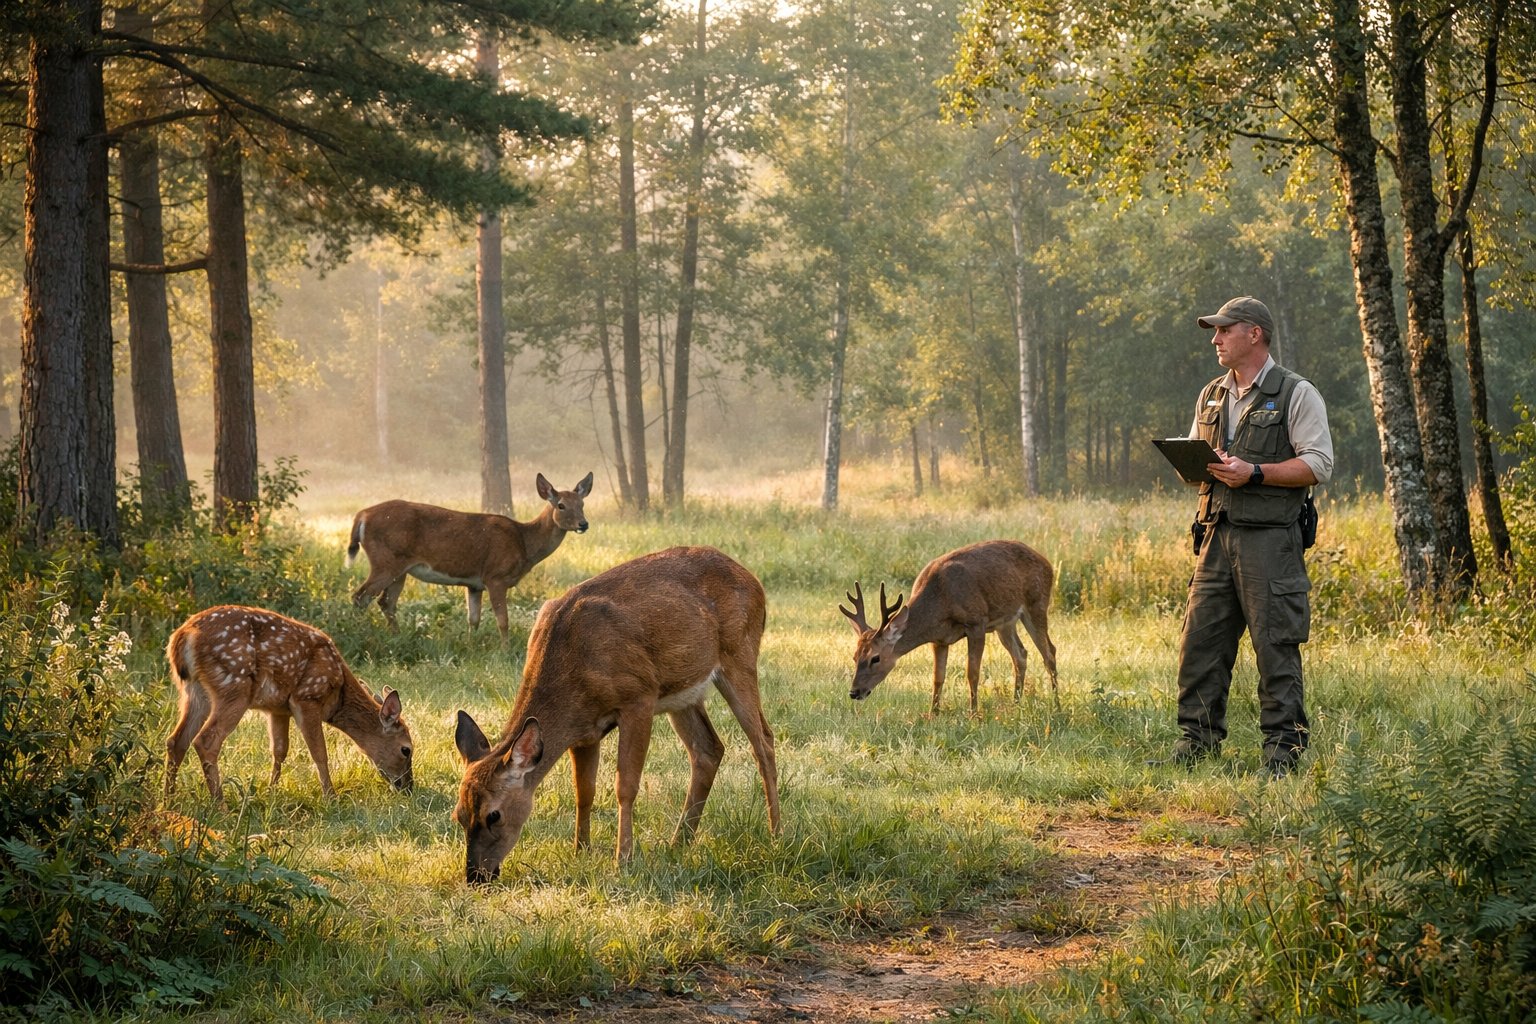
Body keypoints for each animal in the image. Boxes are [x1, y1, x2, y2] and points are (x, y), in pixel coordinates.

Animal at [164, 605, 414, 805]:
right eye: (406, 749)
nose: (408, 787)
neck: (338, 694)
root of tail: (183, 637)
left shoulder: (277, 709)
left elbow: (279, 750)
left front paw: (271, 790)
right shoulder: (307, 697)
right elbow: (319, 752)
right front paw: (331, 797)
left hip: (195, 691)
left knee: (176, 740)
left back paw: (169, 799)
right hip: (234, 685)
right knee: (205, 741)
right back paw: (220, 805)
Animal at [346, 471, 593, 641]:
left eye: (581, 503)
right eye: (560, 505)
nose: (583, 524)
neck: (524, 542)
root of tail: (361, 516)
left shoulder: (474, 584)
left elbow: (473, 619)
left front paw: (470, 645)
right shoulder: (496, 576)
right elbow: (503, 620)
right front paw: (505, 649)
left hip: (400, 569)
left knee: (385, 602)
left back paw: (396, 637)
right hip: (385, 561)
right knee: (361, 596)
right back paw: (360, 631)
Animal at [453, 545, 781, 881]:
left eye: (494, 815)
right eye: (459, 815)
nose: (476, 875)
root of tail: (753, 580)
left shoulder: (639, 697)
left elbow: (625, 785)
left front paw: (622, 859)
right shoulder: (585, 731)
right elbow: (584, 791)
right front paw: (581, 850)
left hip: (739, 654)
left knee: (763, 742)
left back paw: (776, 835)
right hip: (684, 694)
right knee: (708, 749)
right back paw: (679, 843)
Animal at [840, 539, 1060, 715]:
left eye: (875, 658)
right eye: (854, 657)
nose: (854, 692)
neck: (941, 601)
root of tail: (1047, 562)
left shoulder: (977, 622)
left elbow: (972, 673)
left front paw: (974, 714)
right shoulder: (939, 640)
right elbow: (938, 677)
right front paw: (933, 713)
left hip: (1037, 603)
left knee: (1049, 652)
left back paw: (1056, 704)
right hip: (1005, 622)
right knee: (1021, 654)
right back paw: (1016, 704)